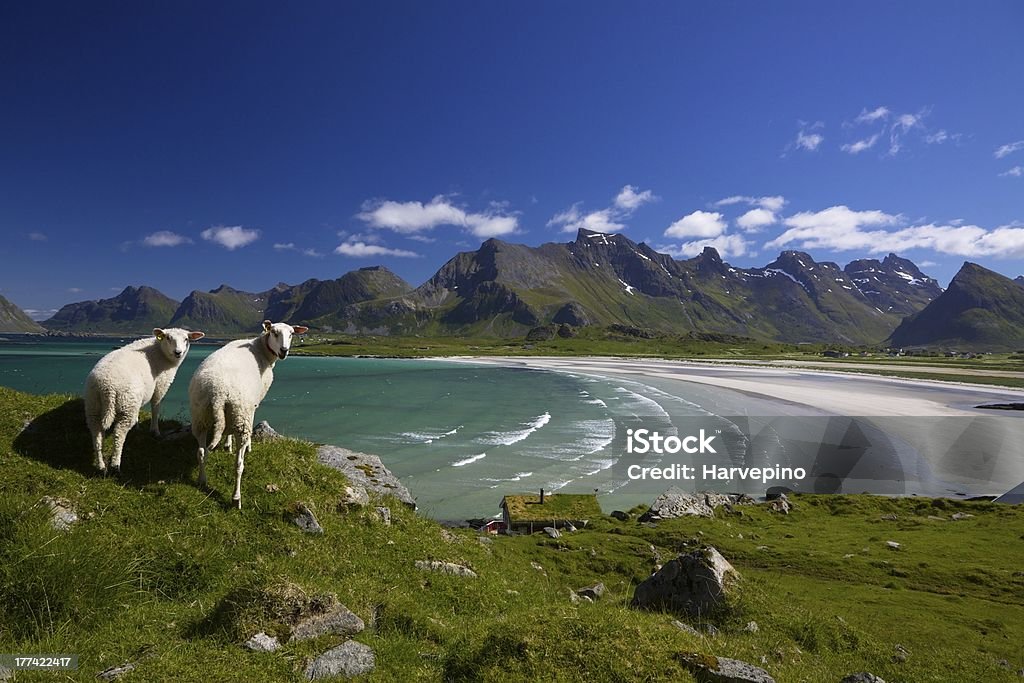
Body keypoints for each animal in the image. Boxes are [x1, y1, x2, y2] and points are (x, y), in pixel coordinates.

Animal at [88, 327, 207, 473]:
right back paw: (116, 465)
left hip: (94, 405)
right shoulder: (160, 385)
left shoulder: (140, 395)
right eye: (168, 338)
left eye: (186, 339)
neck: (160, 352)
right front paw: (155, 431)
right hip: (125, 405)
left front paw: (137, 425)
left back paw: (100, 466)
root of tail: (107, 388)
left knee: (97, 434)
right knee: (119, 434)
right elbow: (156, 407)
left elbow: (140, 409)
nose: (178, 352)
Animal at [189, 321, 307, 507]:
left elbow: (227, 433)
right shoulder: (254, 402)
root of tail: (218, 393)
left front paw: (227, 444)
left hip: (201, 417)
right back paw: (236, 498)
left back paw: (202, 480)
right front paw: (247, 445)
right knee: (238, 464)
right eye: (274, 333)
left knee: (201, 453)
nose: (284, 351)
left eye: (291, 334)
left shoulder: (231, 416)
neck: (260, 349)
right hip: (241, 416)